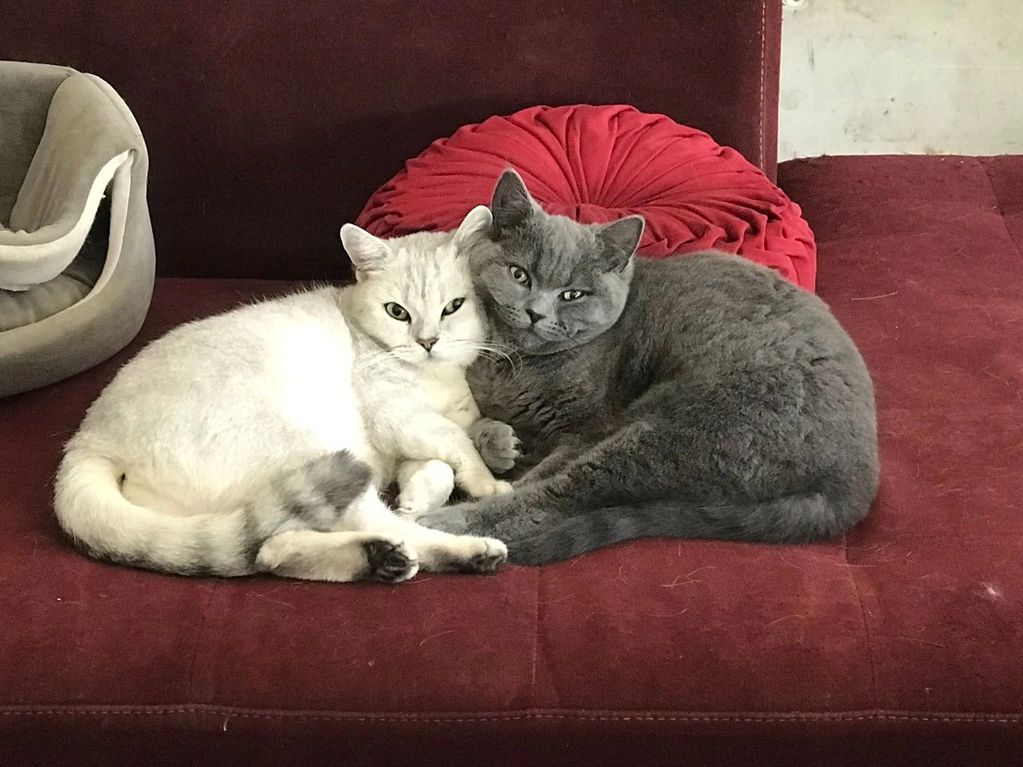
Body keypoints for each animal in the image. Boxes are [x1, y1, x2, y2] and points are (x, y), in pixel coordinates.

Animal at [52, 204, 515, 580]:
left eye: (453, 307)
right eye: (396, 312)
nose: (427, 341)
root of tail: (89, 438)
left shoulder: (414, 439)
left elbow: (438, 466)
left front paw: (418, 497)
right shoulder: (398, 419)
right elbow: (455, 444)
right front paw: (486, 482)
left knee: (271, 550)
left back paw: (380, 558)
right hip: (313, 451)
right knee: (359, 525)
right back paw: (465, 551)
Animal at [423, 169, 879, 564]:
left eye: (572, 295)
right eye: (519, 274)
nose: (535, 313)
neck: (514, 365)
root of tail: (854, 481)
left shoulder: (586, 429)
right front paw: (499, 441)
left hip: (680, 431)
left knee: (554, 497)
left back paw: (444, 523)